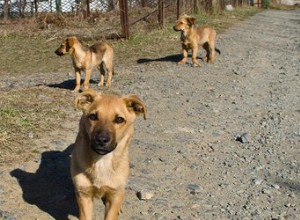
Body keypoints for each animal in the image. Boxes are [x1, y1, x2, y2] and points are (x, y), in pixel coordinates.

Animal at [72, 88, 148, 219]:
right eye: (93, 116)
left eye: (119, 119)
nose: (101, 140)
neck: (102, 160)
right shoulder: (84, 195)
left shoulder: (114, 195)